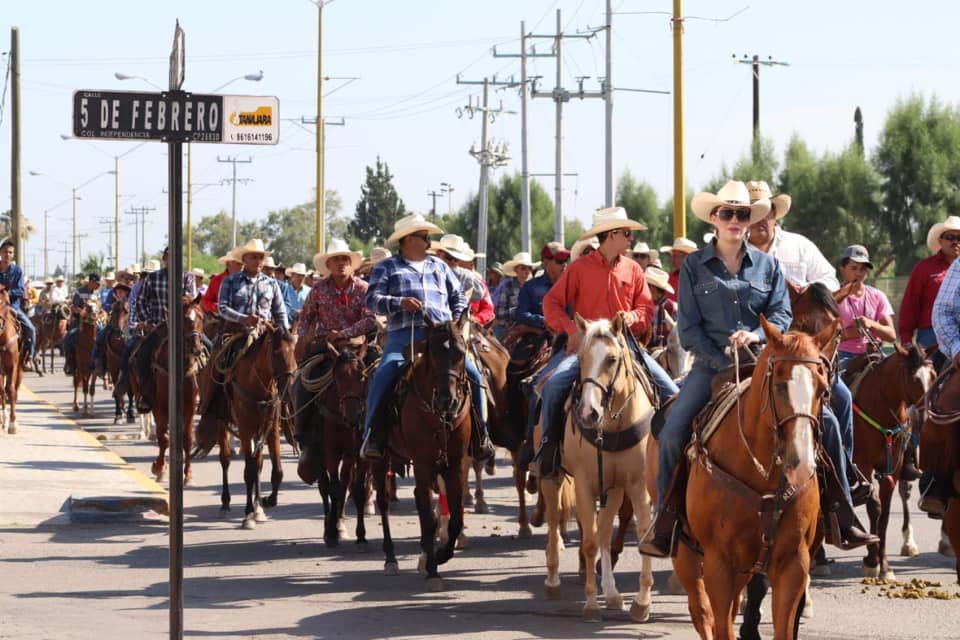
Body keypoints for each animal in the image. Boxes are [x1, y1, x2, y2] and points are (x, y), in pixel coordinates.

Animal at [149, 298, 205, 482]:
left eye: (201, 317)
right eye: (185, 319)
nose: (196, 348)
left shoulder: (190, 407)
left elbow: (187, 439)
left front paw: (188, 473)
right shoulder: (159, 406)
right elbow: (163, 437)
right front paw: (159, 468)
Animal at [540, 312, 660, 624]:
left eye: (612, 359)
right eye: (581, 358)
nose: (588, 413)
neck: (613, 424)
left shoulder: (636, 485)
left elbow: (637, 535)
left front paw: (641, 602)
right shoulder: (584, 484)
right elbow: (590, 543)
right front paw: (592, 602)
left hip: (614, 489)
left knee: (605, 532)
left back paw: (613, 593)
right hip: (551, 477)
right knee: (554, 521)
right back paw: (553, 580)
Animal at [656, 316, 836, 640]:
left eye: (822, 388)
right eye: (779, 385)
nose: (801, 464)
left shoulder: (793, 563)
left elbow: (783, 627)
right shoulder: (718, 563)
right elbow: (719, 625)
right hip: (685, 552)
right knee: (702, 613)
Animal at [852, 344, 932, 580]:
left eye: (932, 376)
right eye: (913, 379)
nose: (927, 417)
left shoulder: (893, 468)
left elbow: (885, 514)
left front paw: (884, 566)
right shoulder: (863, 464)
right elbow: (874, 506)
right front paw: (871, 560)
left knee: (904, 493)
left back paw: (908, 542)